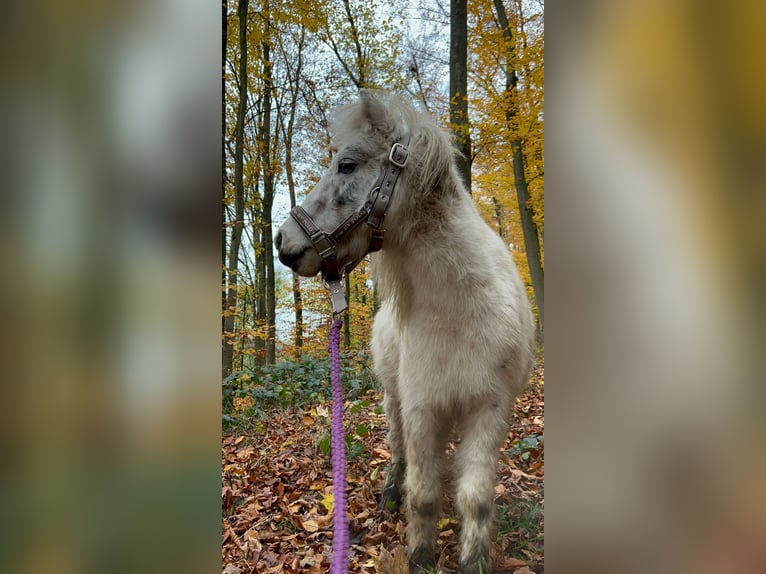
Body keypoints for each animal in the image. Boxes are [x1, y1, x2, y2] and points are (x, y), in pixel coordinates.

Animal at [275, 91, 535, 573]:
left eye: (347, 165)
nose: (283, 242)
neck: (461, 311)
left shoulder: (488, 410)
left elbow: (475, 499)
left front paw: (473, 560)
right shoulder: (421, 407)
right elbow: (424, 494)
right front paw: (420, 556)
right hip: (394, 399)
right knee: (397, 450)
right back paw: (389, 495)